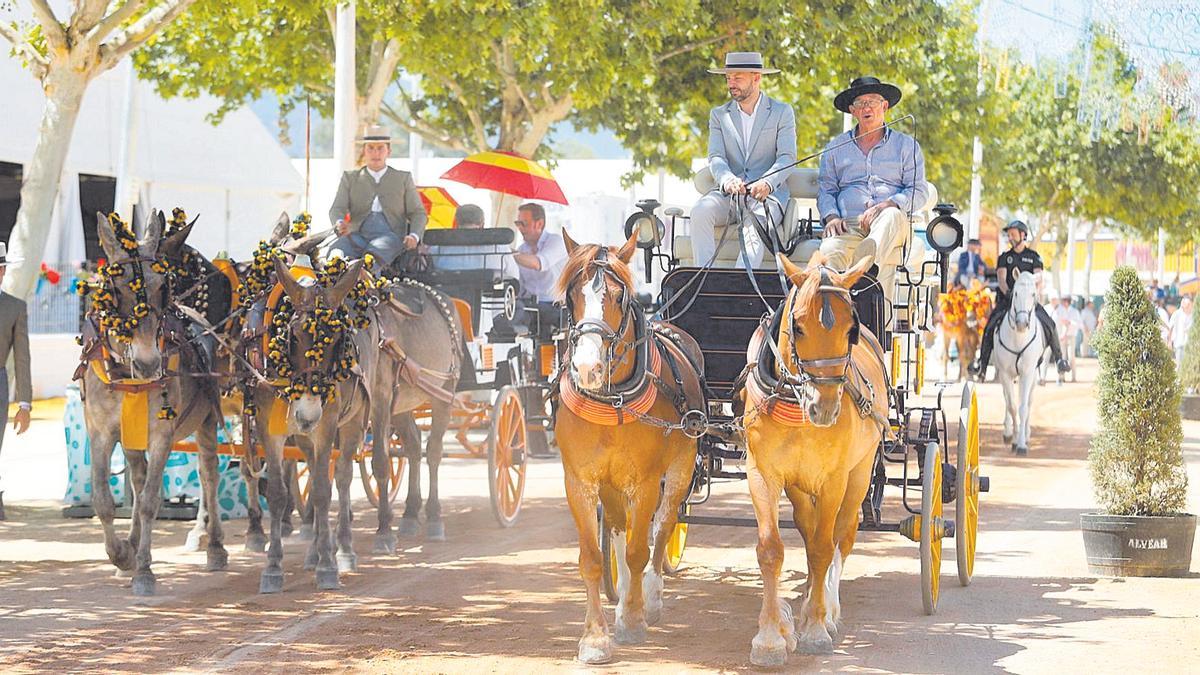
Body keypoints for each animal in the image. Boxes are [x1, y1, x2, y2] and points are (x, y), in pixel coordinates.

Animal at [80, 210, 231, 593]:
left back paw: (215, 546)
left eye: (163, 287)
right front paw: (122, 554)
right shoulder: (100, 432)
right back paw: (132, 546)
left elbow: (150, 500)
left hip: (207, 421)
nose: (149, 363)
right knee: (137, 475)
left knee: (209, 474)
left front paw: (145, 571)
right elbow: (103, 500)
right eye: (115, 289)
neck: (127, 375)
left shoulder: (162, 434)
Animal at [556, 233, 705, 662]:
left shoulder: (646, 481)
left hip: (681, 468)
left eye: (619, 296)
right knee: (620, 529)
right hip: (612, 484)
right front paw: (594, 638)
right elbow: (593, 558)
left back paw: (648, 597)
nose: (587, 368)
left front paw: (635, 619)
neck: (613, 400)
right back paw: (623, 594)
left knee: (664, 525)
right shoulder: (580, 482)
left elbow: (641, 548)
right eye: (570, 295)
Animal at [739, 252, 892, 662]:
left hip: (858, 474)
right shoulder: (763, 473)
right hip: (798, 485)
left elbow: (825, 547)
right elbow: (772, 550)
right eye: (799, 326)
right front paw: (770, 636)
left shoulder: (834, 479)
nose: (823, 408)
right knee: (808, 532)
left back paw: (827, 608)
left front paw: (816, 628)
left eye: (851, 329)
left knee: (842, 534)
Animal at [988, 267, 1046, 451]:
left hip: (1032, 376)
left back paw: (1026, 434)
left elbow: (1023, 408)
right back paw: (1008, 433)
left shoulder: (1027, 373)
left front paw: (1021, 444)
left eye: (1033, 294)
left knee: (1028, 402)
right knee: (1008, 399)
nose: (1021, 323)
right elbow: (1012, 406)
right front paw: (1013, 439)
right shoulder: (1005, 374)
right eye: (1015, 294)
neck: (1018, 338)